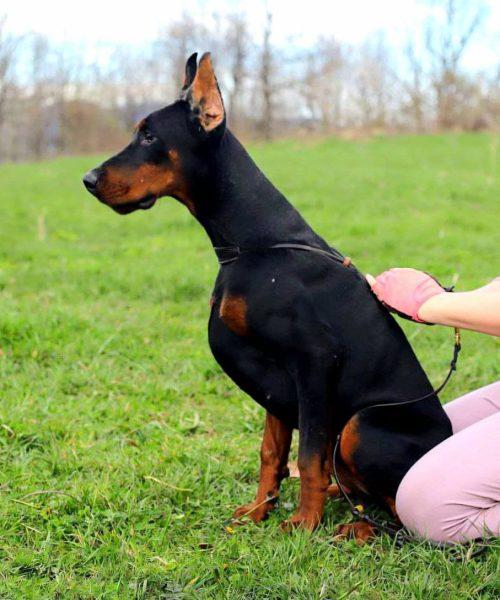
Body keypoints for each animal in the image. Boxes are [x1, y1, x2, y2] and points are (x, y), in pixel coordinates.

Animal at [83, 52, 452, 541]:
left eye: (149, 135)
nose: (87, 179)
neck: (252, 244)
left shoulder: (315, 361)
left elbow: (309, 454)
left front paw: (304, 523)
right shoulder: (278, 379)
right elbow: (271, 452)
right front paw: (260, 511)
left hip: (361, 425)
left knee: (403, 512)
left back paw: (357, 527)